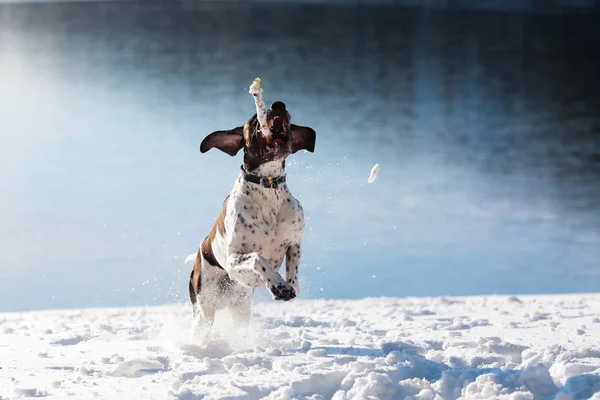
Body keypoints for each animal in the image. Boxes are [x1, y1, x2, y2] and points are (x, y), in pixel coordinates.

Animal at [186, 100, 318, 334]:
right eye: (255, 119)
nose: (278, 104)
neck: (268, 186)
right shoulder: (234, 260)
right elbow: (258, 257)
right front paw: (278, 285)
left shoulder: (294, 241)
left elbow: (293, 271)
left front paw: (287, 285)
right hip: (204, 311)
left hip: (240, 309)